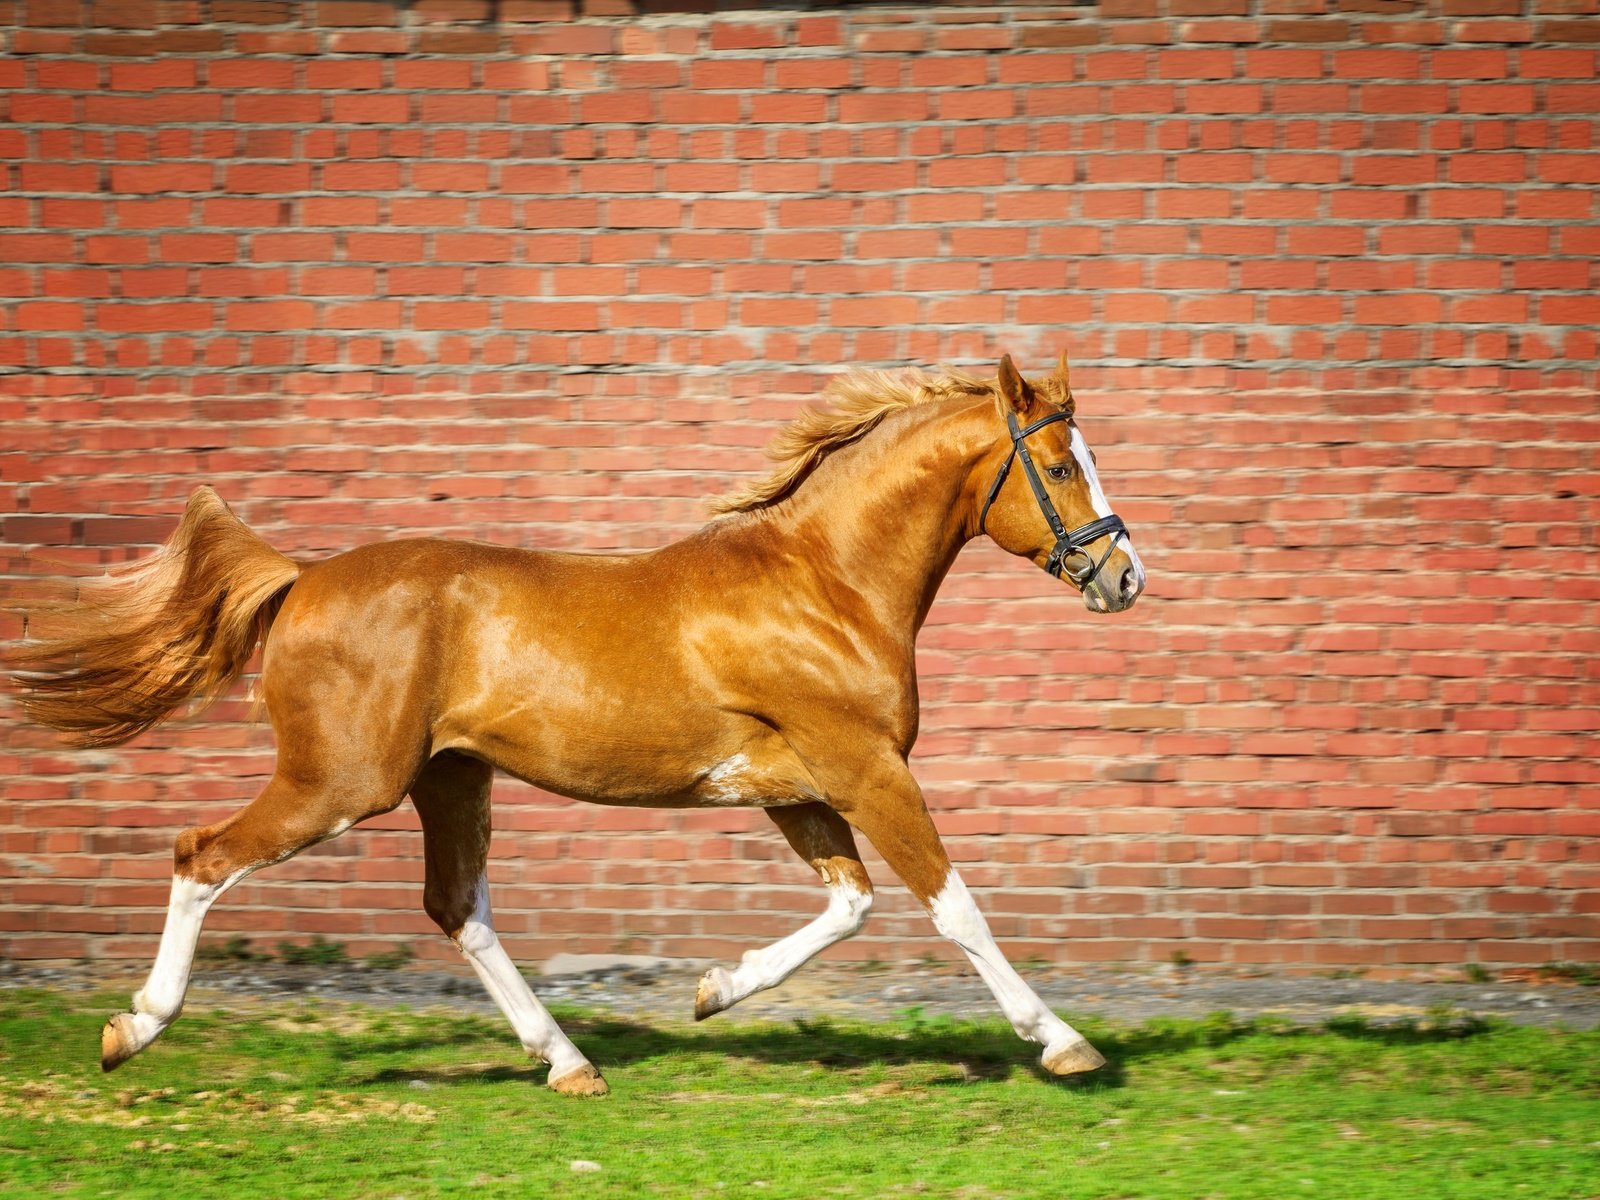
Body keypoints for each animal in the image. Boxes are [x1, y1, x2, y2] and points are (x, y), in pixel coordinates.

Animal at [18, 350, 1152, 1100]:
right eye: (1060, 467)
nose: (1123, 576)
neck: (824, 584)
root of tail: (300, 580)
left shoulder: (795, 790)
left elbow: (852, 906)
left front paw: (712, 990)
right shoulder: (865, 769)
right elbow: (952, 909)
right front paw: (1064, 1044)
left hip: (451, 778)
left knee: (457, 908)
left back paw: (567, 1062)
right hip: (341, 785)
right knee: (202, 854)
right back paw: (132, 1030)